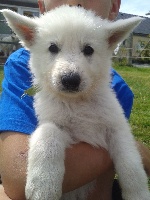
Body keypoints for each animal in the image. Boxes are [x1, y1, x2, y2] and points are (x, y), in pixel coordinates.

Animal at [1, 5, 149, 200]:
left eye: (88, 49)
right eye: (53, 48)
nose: (70, 80)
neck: (77, 102)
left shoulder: (117, 127)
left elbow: (131, 163)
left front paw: (138, 193)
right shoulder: (56, 124)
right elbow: (47, 135)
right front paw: (43, 185)